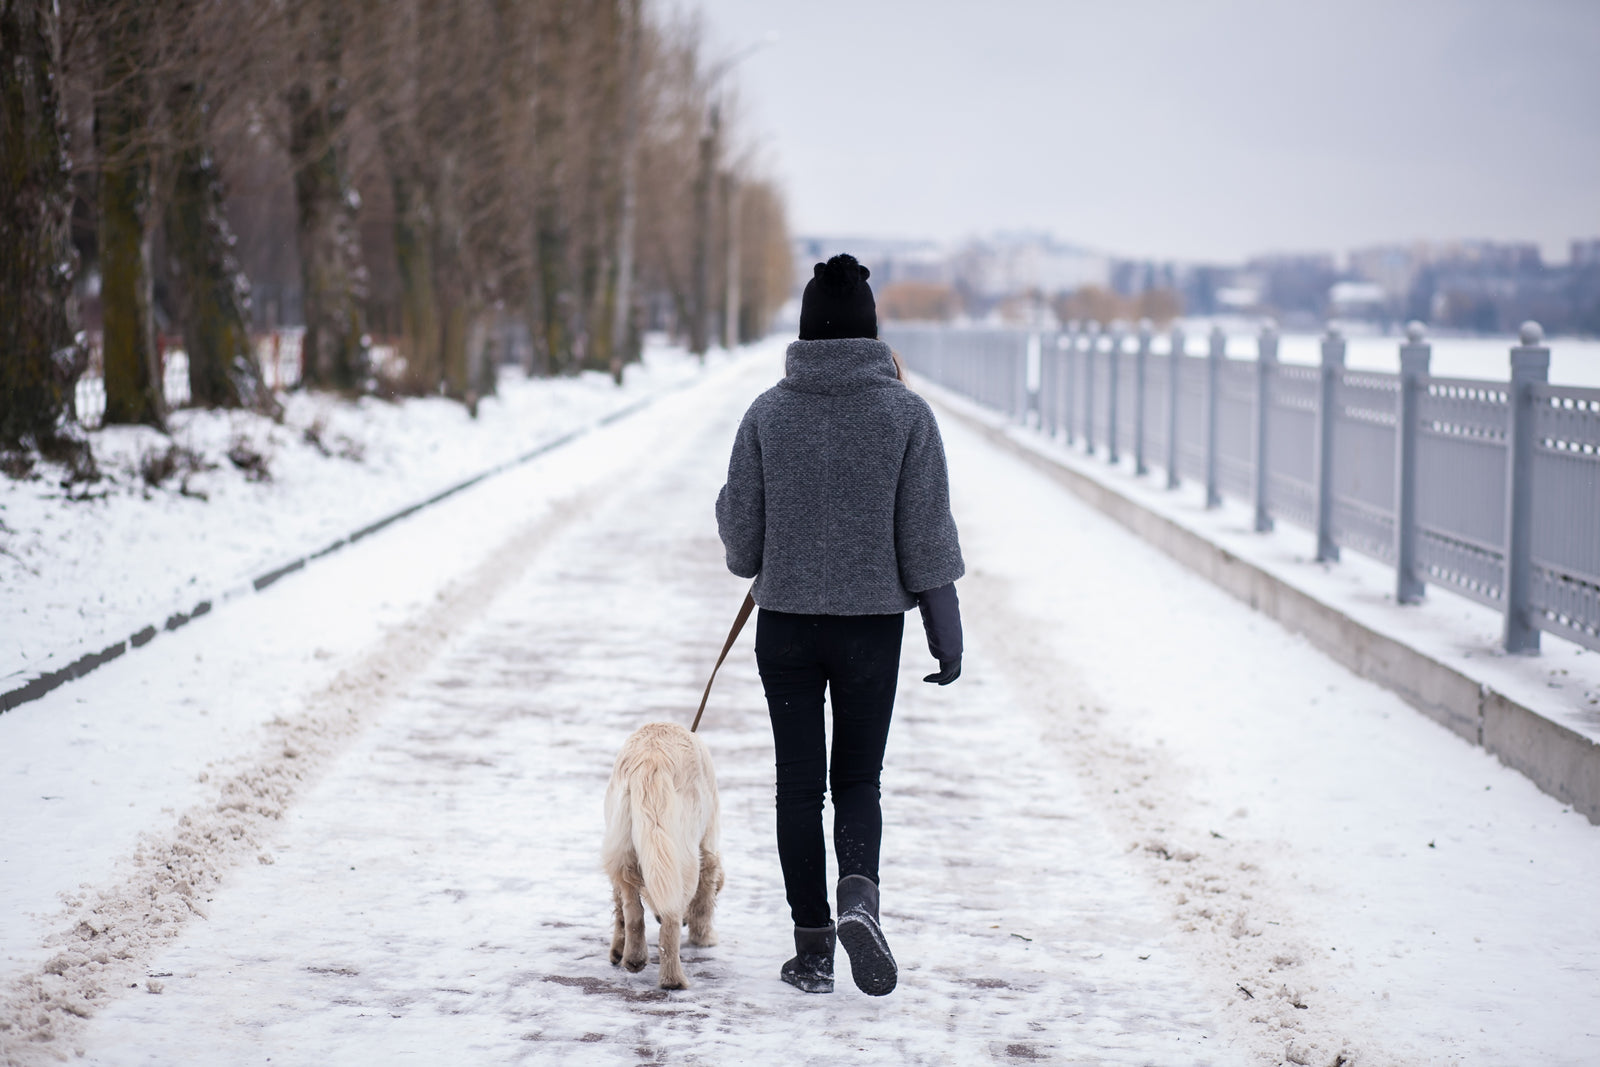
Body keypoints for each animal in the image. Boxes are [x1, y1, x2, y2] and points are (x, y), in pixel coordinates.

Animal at [601, 723, 726, 991]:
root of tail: (650, 761)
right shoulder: (707, 846)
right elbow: (705, 900)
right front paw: (704, 937)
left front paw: (617, 949)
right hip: (683, 856)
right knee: (671, 920)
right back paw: (673, 979)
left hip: (624, 847)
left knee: (631, 908)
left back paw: (634, 957)